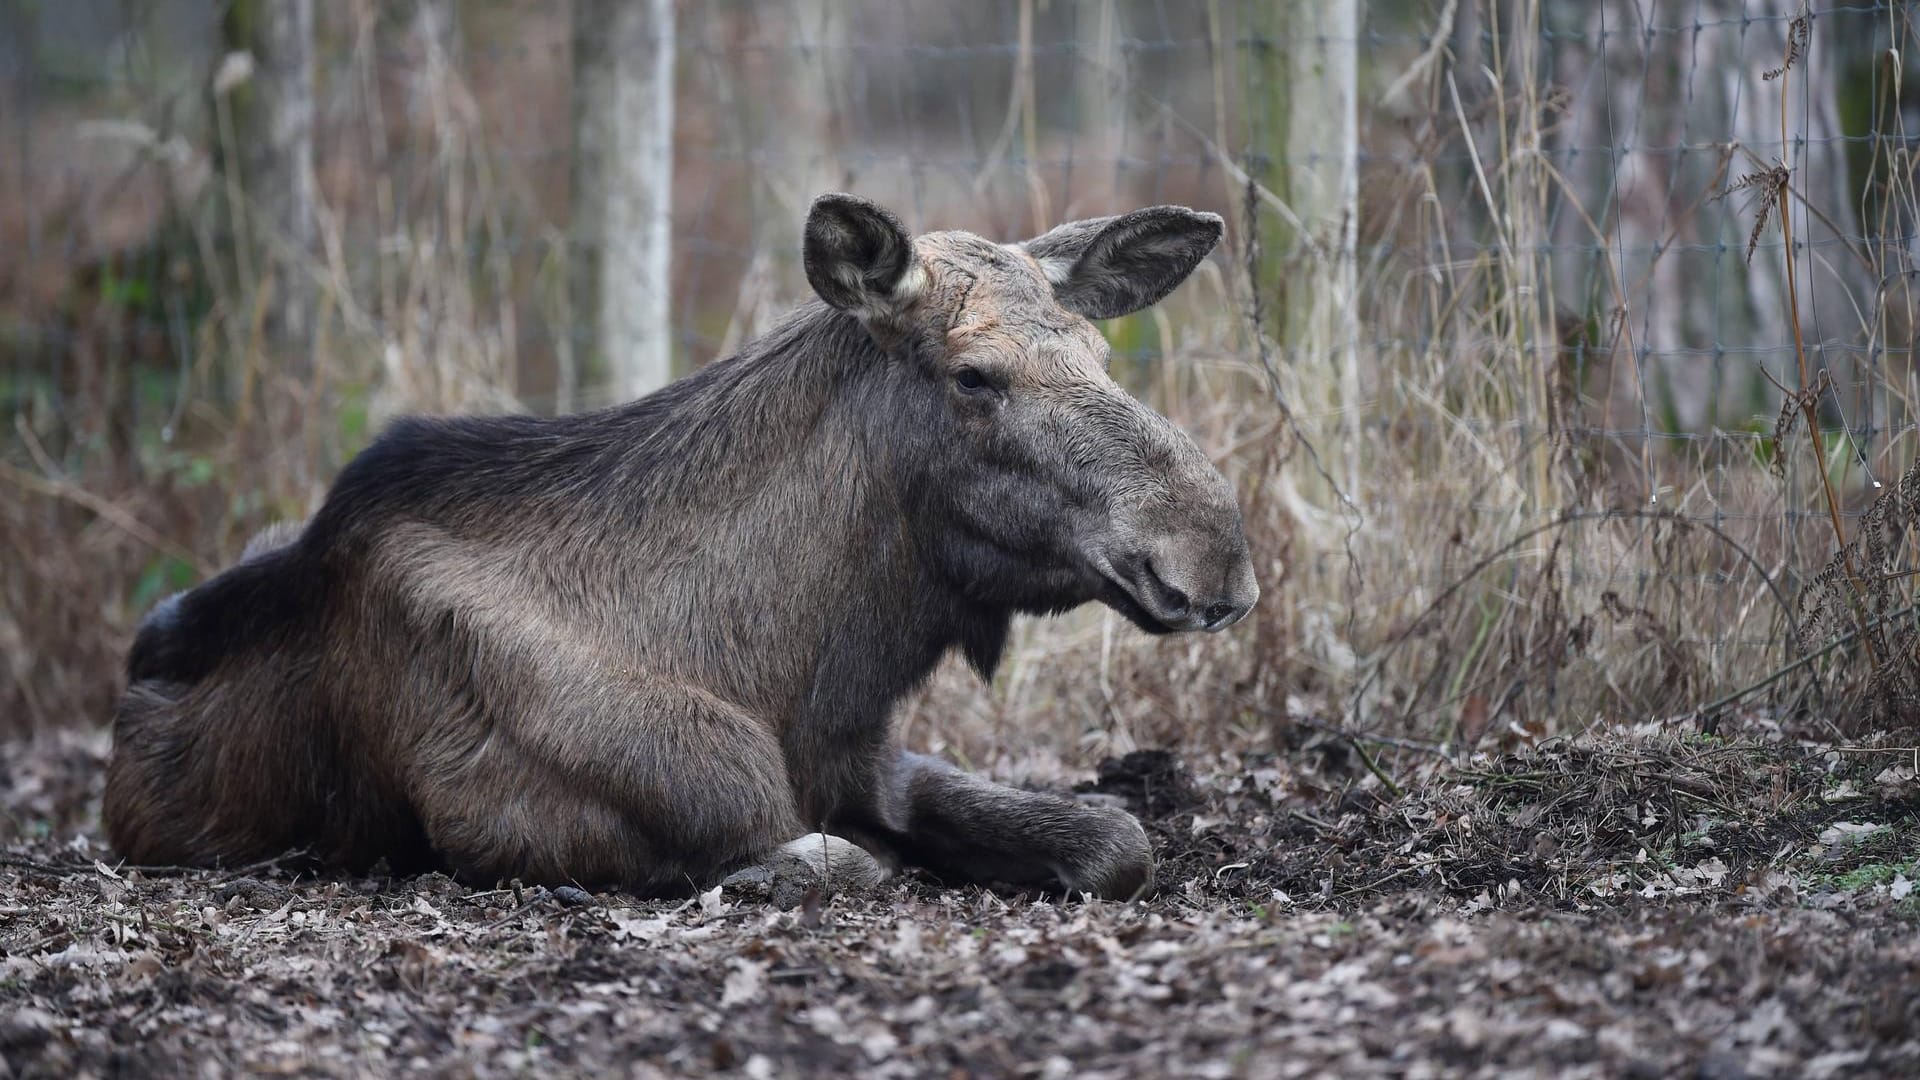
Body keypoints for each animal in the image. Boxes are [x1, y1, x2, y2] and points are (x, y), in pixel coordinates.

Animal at [112, 191, 1267, 891]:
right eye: (975, 376)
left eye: (1097, 353)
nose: (1216, 552)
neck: (788, 666)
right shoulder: (520, 822)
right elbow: (841, 862)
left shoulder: (869, 754)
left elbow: (1116, 836)